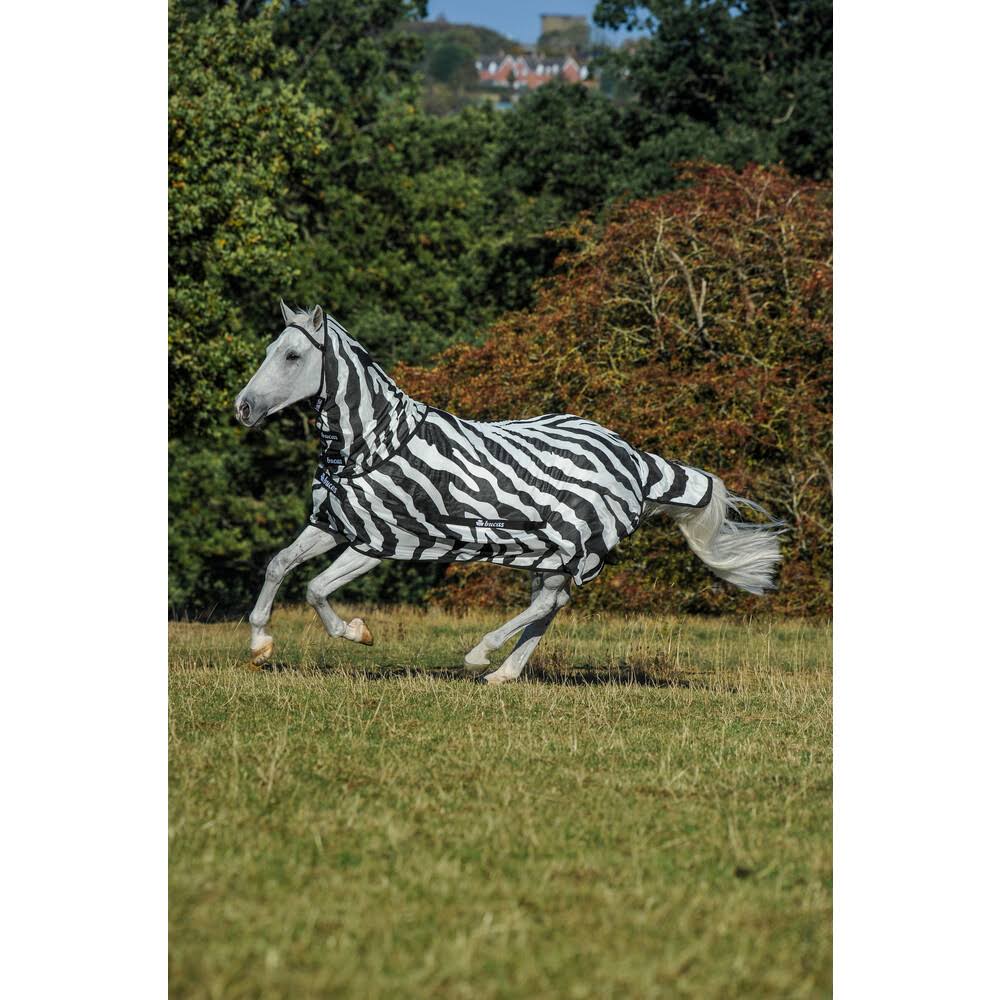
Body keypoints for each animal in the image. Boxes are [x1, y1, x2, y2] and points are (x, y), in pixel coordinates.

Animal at [234, 303, 784, 684]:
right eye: (267, 351)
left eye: (292, 355)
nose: (243, 408)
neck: (370, 444)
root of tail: (635, 458)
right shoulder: (333, 525)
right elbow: (279, 566)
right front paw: (260, 645)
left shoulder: (381, 540)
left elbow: (314, 588)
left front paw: (357, 632)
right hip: (551, 551)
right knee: (552, 604)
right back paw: (503, 673)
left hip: (572, 544)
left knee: (549, 603)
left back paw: (481, 655)